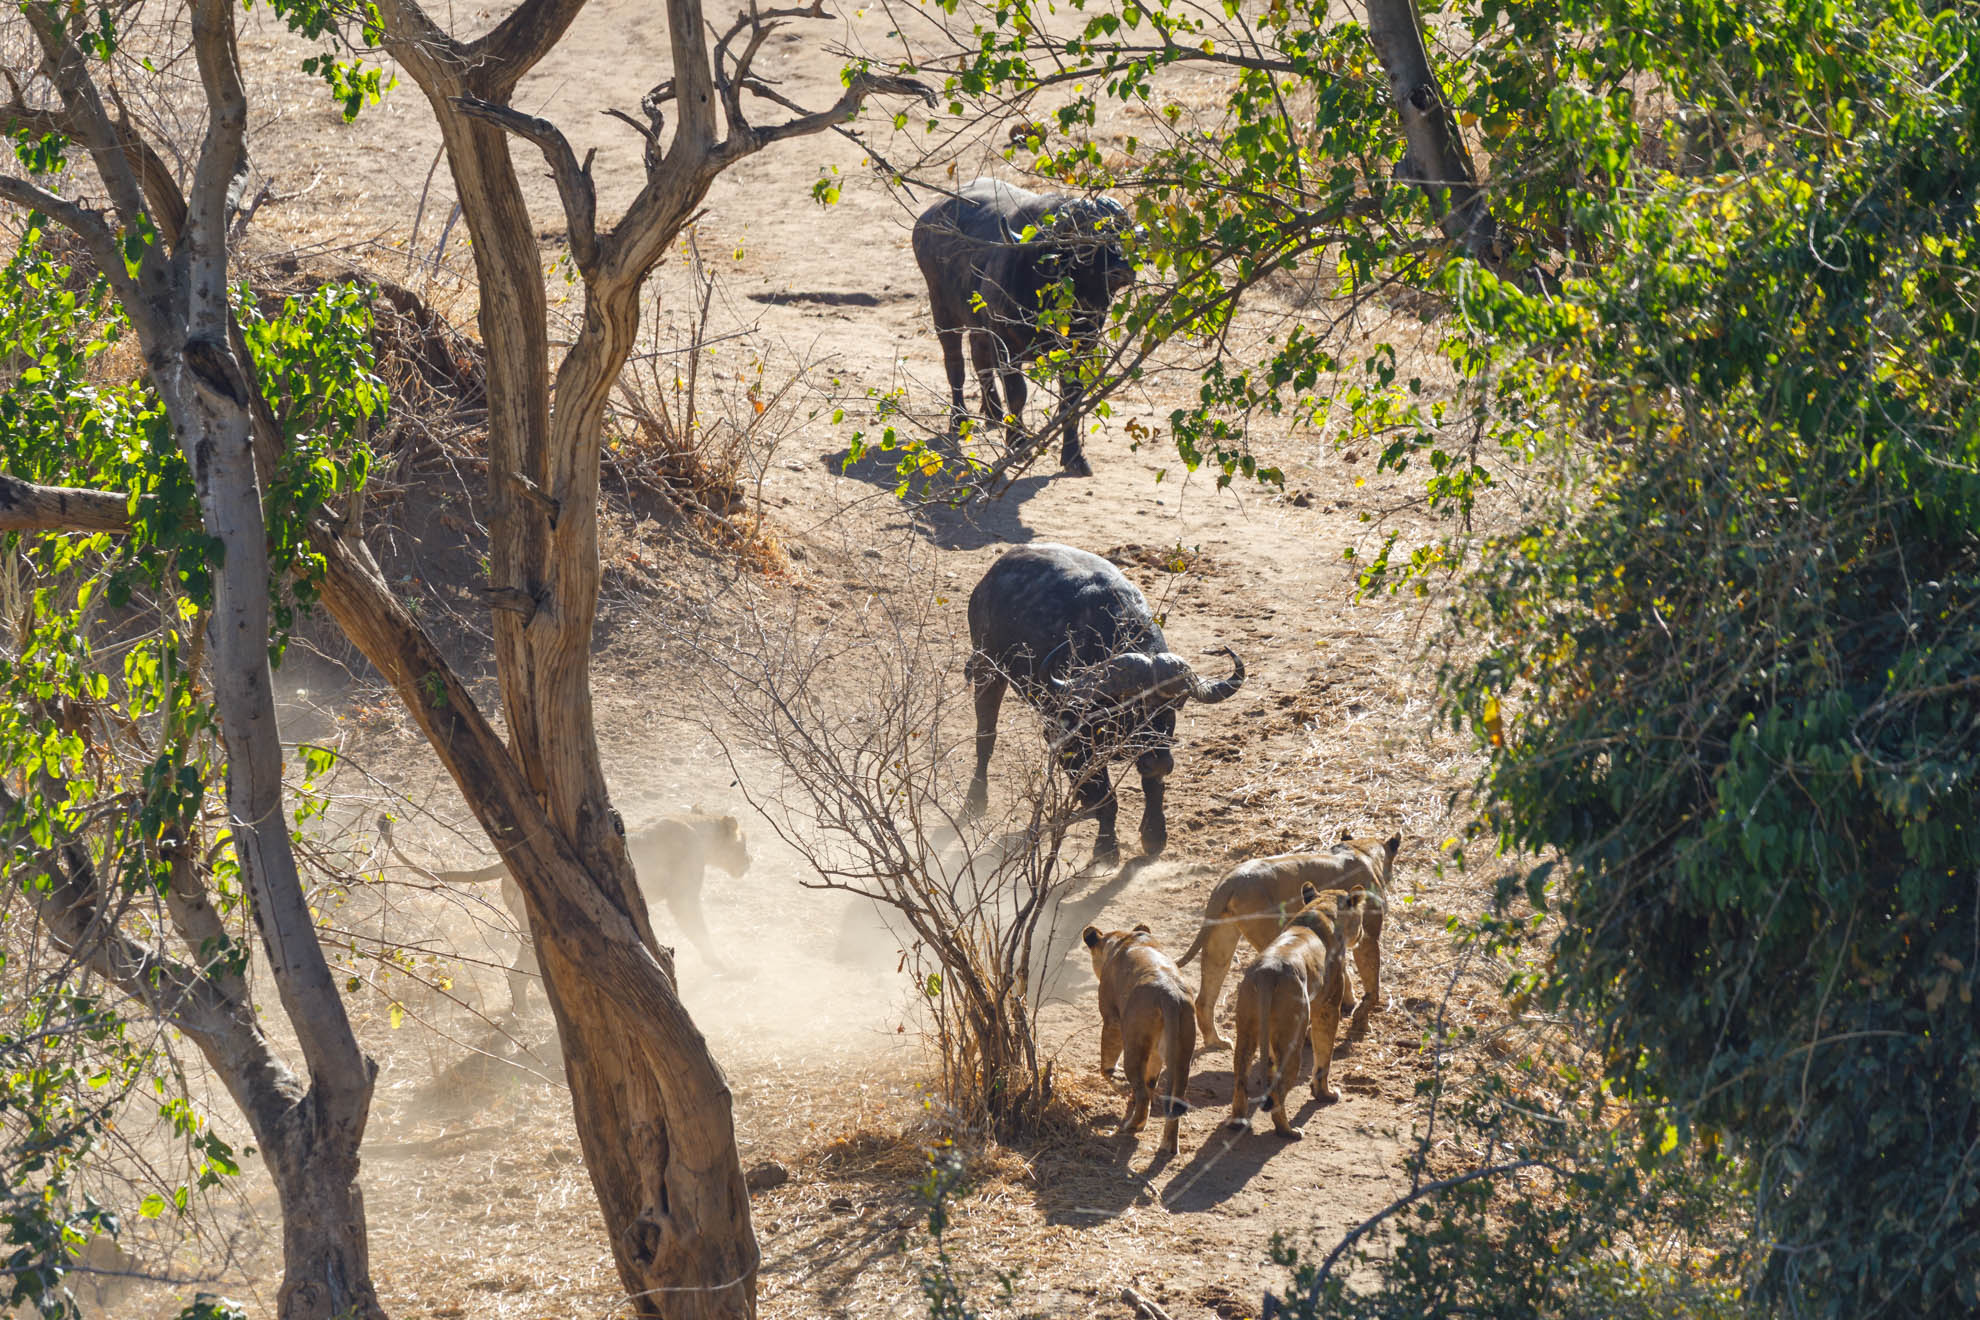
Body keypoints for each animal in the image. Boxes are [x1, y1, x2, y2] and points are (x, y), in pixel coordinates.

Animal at [378, 811, 751, 1013]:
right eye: (743, 843)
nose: (750, 861)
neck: (697, 826)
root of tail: (505, 862)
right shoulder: (683, 897)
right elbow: (700, 933)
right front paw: (727, 966)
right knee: (516, 974)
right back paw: (525, 1014)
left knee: (532, 971)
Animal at [1082, 922, 1198, 1156]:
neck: (1124, 938)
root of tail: (1170, 995)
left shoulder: (1112, 1019)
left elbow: (1107, 1061)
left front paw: (1114, 1078)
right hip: (1179, 1053)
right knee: (1169, 1097)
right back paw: (1169, 1146)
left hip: (1135, 1045)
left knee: (1144, 1093)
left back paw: (1133, 1126)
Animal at [1177, 832, 1399, 1048]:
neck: (1362, 850)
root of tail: (1229, 880)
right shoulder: (1368, 935)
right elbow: (1372, 983)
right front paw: (1361, 1021)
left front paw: (1349, 1003)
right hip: (1273, 931)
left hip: (1221, 937)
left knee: (1205, 997)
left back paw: (1216, 1041)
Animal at [1227, 883, 1367, 1138]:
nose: (1362, 934)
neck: (1322, 908)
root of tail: (1267, 971)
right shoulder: (1328, 1006)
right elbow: (1324, 1057)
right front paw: (1324, 1094)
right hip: (1291, 1036)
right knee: (1279, 1092)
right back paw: (1289, 1131)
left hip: (1247, 1029)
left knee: (1241, 1078)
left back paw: (1238, 1122)